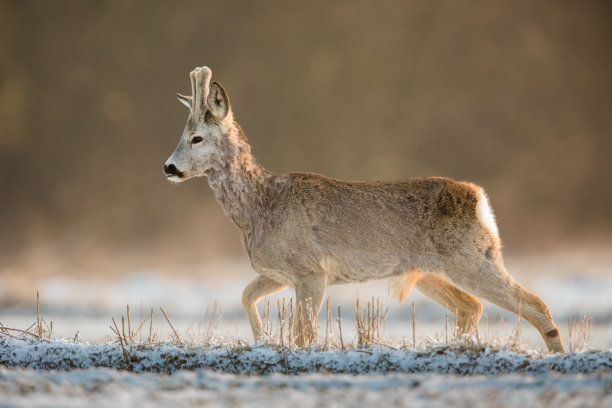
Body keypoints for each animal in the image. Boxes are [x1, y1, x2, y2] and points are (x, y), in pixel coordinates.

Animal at [164, 65, 564, 352]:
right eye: (182, 135)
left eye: (197, 138)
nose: (168, 167)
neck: (259, 210)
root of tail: (478, 198)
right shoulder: (281, 272)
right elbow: (246, 297)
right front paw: (261, 338)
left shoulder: (312, 270)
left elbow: (304, 334)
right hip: (430, 270)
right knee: (471, 306)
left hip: (471, 258)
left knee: (535, 304)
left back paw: (557, 356)